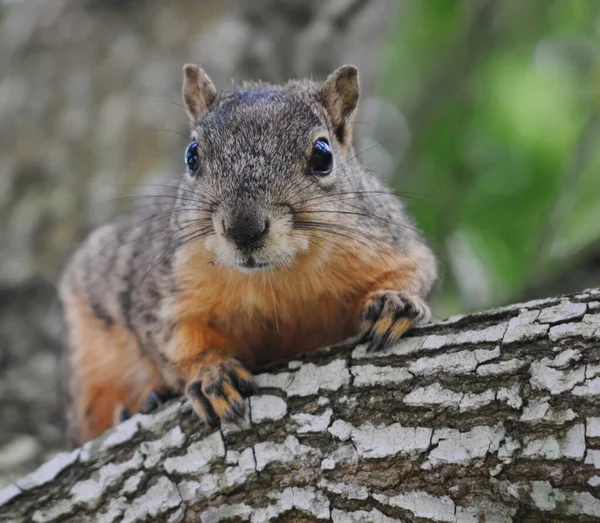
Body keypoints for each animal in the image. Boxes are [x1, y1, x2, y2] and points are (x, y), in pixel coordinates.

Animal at [58, 61, 438, 446]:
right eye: (191, 156)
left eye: (323, 155)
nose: (243, 229)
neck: (278, 278)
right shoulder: (165, 286)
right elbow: (176, 340)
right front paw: (210, 375)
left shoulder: (384, 238)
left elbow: (417, 268)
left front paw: (394, 302)